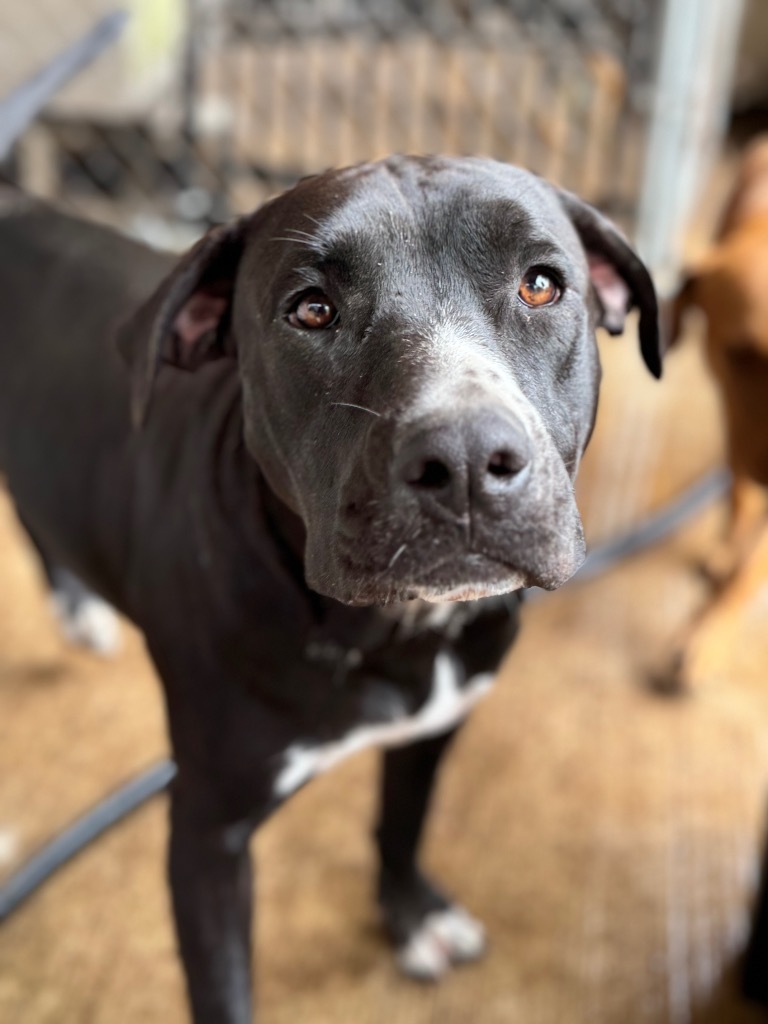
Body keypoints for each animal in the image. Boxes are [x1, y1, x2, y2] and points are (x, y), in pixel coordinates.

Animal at [0, 155, 663, 1019]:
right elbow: (222, 990)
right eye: (311, 309)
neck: (385, 637)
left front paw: (409, 913)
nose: (465, 458)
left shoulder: (438, 722)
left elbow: (404, 819)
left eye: (541, 285)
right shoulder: (206, 833)